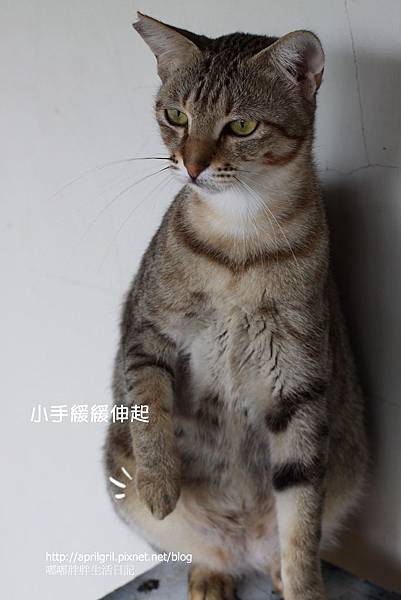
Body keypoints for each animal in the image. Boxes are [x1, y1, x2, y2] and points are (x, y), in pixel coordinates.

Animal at [104, 12, 368, 600]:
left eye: (241, 126)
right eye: (176, 116)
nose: (191, 165)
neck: (239, 246)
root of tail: (242, 546)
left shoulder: (299, 384)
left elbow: (302, 524)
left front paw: (304, 585)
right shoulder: (146, 333)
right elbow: (150, 410)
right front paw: (161, 482)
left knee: (281, 543)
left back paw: (272, 568)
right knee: (202, 549)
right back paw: (210, 571)